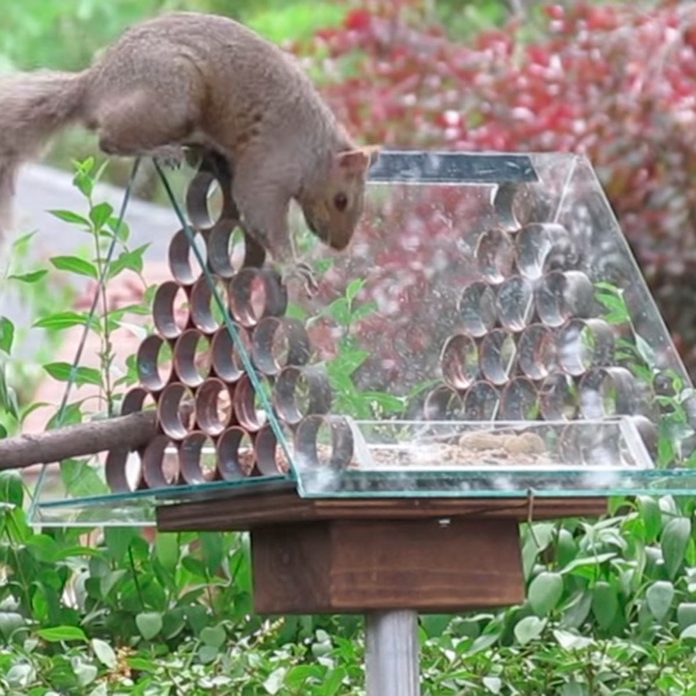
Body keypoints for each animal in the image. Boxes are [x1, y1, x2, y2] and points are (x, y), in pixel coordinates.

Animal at [0, 12, 377, 269]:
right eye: (341, 200)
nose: (340, 245)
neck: (314, 152)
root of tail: (94, 84)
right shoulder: (272, 161)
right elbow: (257, 206)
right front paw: (293, 265)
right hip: (172, 95)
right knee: (108, 140)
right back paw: (160, 148)